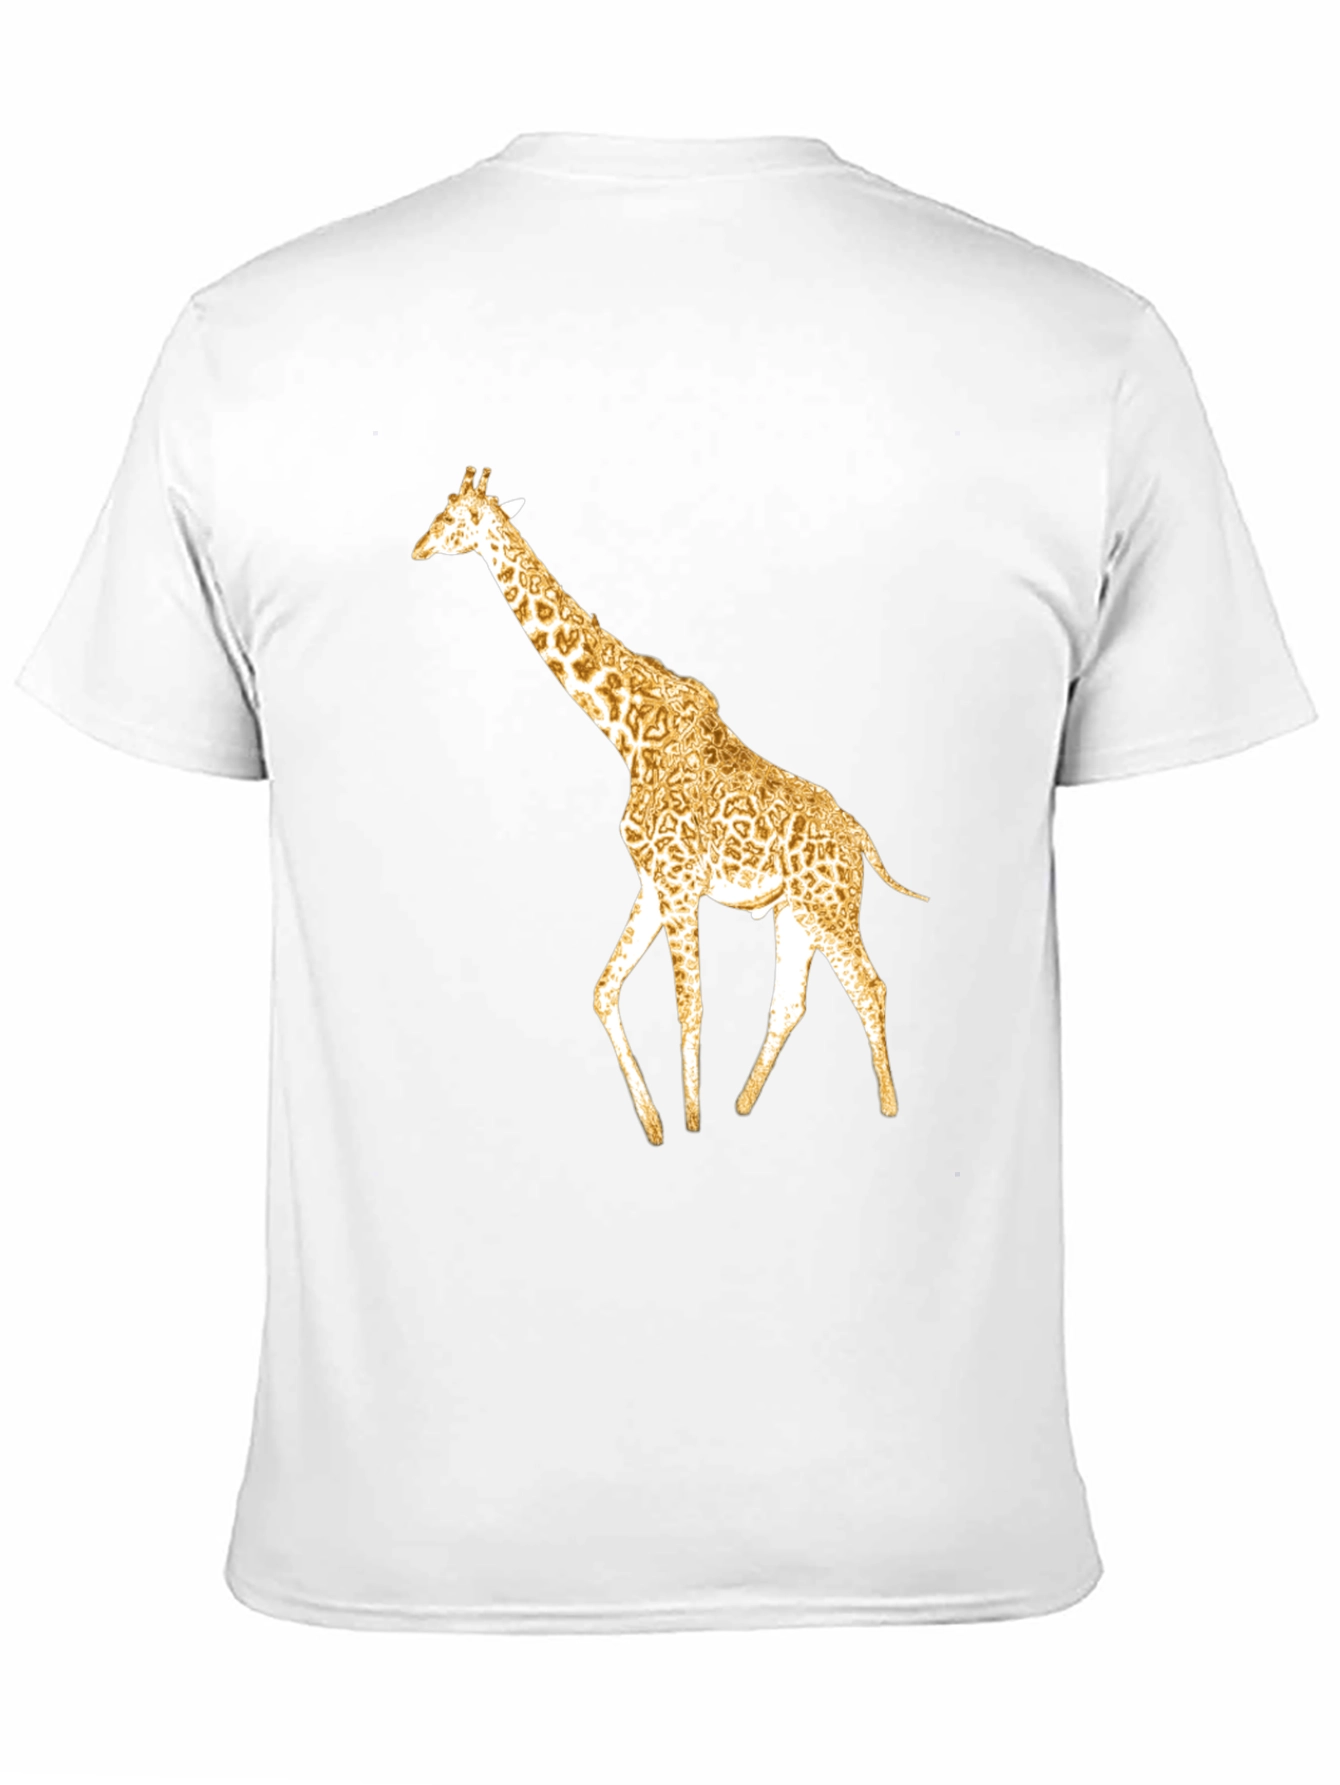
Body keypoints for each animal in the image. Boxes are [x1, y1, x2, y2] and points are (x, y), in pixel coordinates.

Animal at [412, 466, 927, 1147]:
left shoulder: (680, 882)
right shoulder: (653, 882)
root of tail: (860, 838)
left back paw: (889, 1107)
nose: (416, 549)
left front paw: (690, 1123)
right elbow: (604, 990)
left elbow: (690, 1007)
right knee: (790, 1003)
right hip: (795, 913)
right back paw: (744, 1105)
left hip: (829, 906)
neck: (626, 729)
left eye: (453, 518)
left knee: (870, 986)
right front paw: (655, 1124)